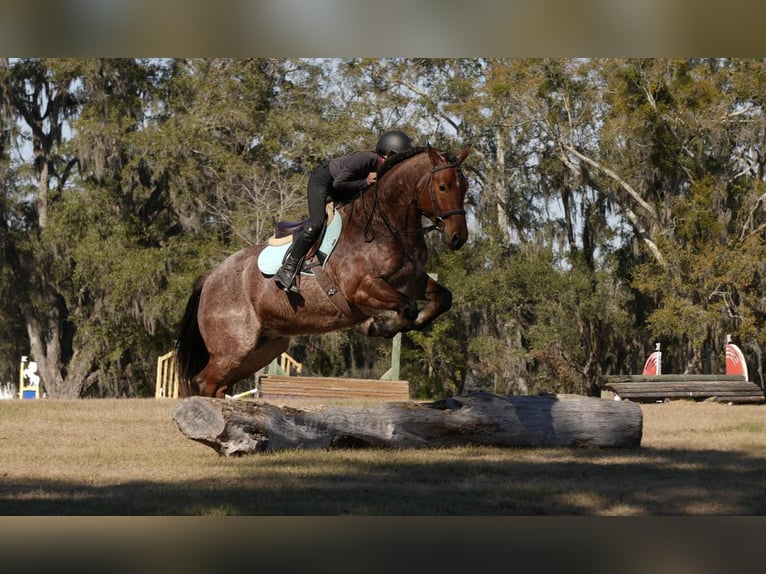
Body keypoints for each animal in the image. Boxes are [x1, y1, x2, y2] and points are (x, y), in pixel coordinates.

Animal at [175, 144, 471, 398]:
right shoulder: (361, 288)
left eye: (465, 187)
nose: (458, 238)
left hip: (266, 346)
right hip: (234, 346)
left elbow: (442, 299)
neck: (385, 224)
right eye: (443, 187)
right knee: (205, 382)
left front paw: (411, 322)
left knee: (218, 385)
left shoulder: (412, 281)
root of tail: (210, 279)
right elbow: (407, 307)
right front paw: (378, 325)